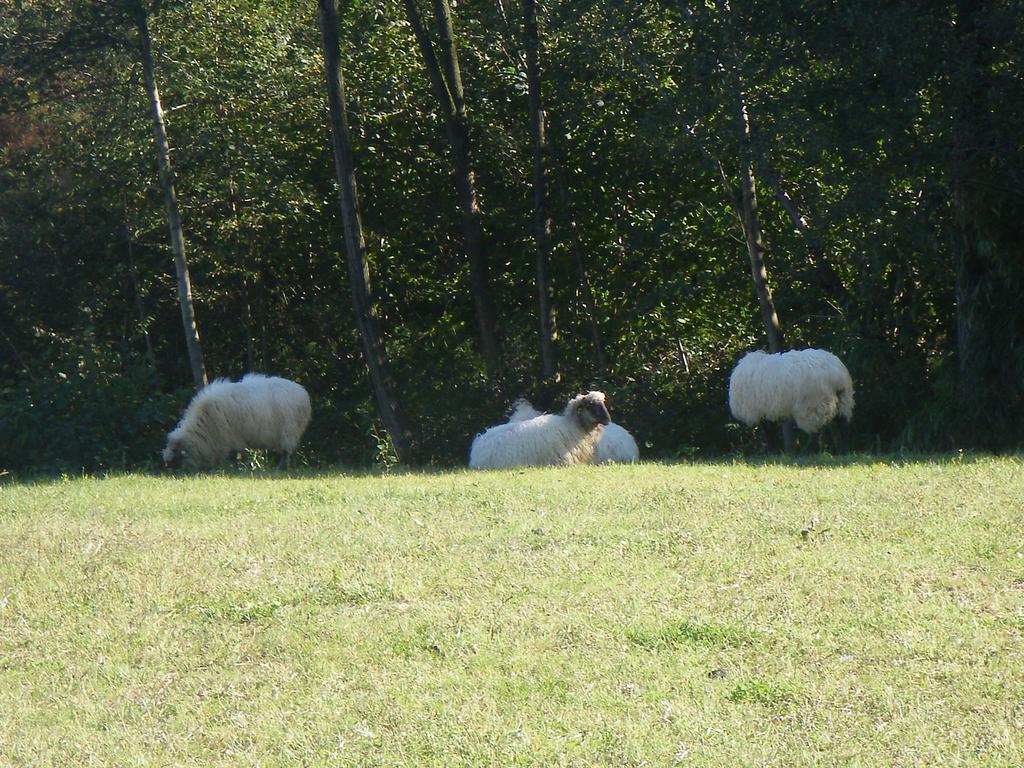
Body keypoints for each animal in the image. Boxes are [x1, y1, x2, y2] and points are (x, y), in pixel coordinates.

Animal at [159, 376, 309, 473]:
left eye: (176, 457)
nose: (171, 473)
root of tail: (302, 391)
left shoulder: (232, 436)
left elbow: (237, 455)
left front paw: (237, 468)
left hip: (289, 431)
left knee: (286, 452)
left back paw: (282, 468)